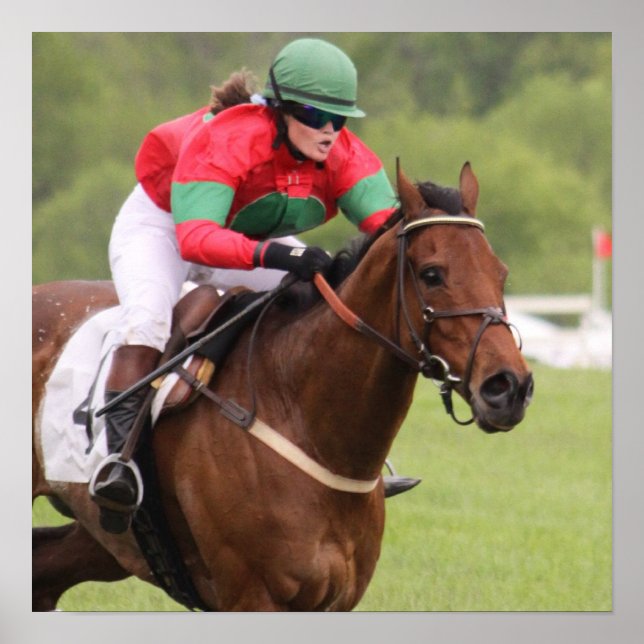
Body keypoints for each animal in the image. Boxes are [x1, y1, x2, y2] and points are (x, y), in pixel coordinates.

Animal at [32, 163, 533, 611]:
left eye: (502, 272)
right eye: (432, 273)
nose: (508, 386)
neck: (307, 421)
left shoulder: (337, 600)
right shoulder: (252, 596)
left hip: (108, 539)